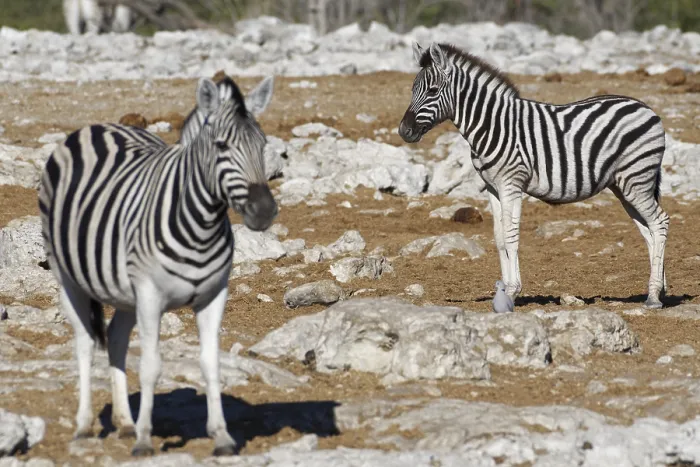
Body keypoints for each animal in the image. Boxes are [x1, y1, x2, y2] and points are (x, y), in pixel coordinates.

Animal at [38, 75, 276, 456]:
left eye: (263, 144)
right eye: (221, 145)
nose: (265, 212)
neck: (201, 225)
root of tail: (99, 125)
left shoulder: (213, 296)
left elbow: (211, 364)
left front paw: (221, 436)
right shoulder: (150, 295)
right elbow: (150, 366)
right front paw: (145, 440)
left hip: (125, 293)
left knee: (116, 340)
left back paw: (124, 422)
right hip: (69, 279)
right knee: (85, 343)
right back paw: (84, 426)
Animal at [399, 42, 669, 309]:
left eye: (433, 90)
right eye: (412, 89)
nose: (403, 131)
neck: (492, 126)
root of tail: (646, 108)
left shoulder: (511, 184)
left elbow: (511, 235)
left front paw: (512, 292)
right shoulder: (492, 187)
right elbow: (499, 237)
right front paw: (503, 290)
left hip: (637, 178)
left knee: (660, 222)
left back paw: (654, 296)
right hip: (623, 185)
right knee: (648, 231)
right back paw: (660, 289)